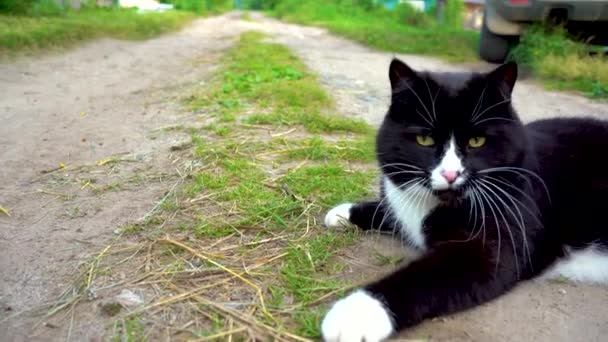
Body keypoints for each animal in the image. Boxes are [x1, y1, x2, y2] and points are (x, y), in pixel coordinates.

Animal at [320, 60, 604, 340]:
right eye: (424, 139)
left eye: (477, 140)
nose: (450, 174)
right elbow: (391, 209)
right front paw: (343, 213)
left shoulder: (498, 238)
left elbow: (431, 275)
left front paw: (356, 313)